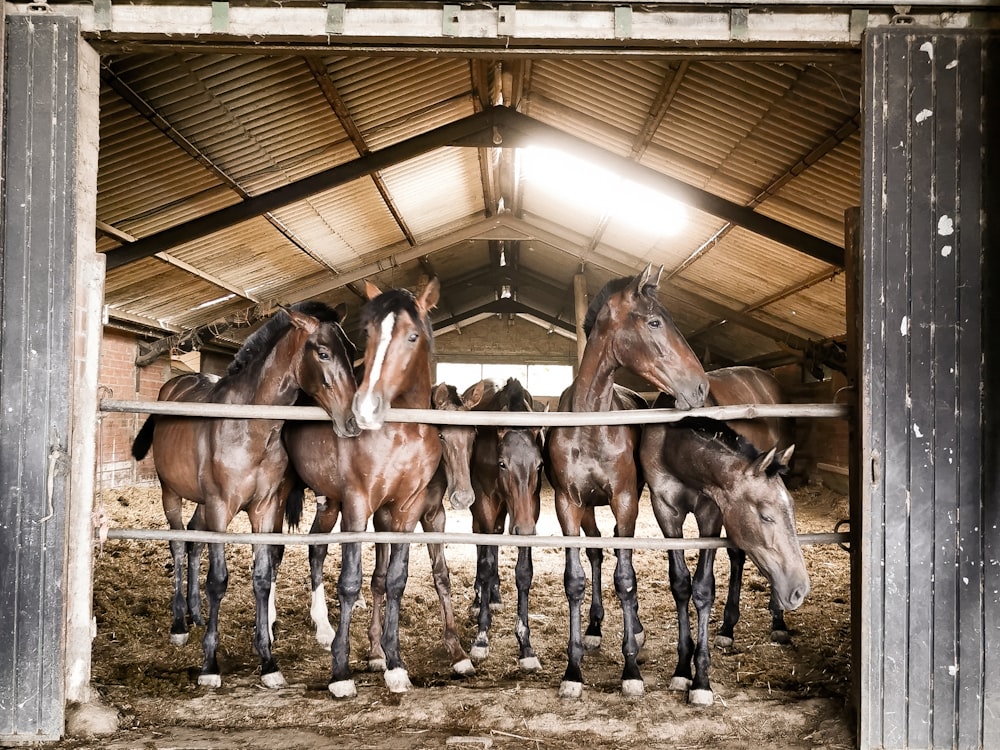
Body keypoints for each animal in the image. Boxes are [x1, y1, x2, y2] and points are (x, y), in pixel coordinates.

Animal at [127, 302, 358, 692]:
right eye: (323, 353)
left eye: (353, 352)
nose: (353, 421)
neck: (250, 426)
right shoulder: (222, 508)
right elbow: (218, 580)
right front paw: (210, 666)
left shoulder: (264, 509)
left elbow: (262, 577)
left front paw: (268, 661)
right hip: (172, 493)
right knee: (179, 542)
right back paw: (179, 624)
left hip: (203, 504)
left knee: (194, 540)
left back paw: (195, 613)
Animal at [286, 280, 446, 700]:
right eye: (369, 333)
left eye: (412, 335)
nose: (365, 409)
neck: (403, 432)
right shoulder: (359, 504)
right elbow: (350, 582)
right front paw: (341, 673)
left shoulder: (405, 509)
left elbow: (394, 581)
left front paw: (394, 664)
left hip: (330, 503)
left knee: (316, 549)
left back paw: (323, 627)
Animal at [464, 378, 544, 672]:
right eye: (502, 464)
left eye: (539, 465)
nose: (525, 529)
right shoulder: (485, 503)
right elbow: (486, 566)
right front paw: (481, 637)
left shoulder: (531, 508)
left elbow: (523, 572)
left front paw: (526, 646)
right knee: (481, 545)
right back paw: (480, 599)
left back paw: (495, 597)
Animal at [544, 268, 708, 704]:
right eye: (654, 322)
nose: (701, 387)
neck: (590, 425)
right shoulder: (567, 504)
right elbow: (575, 581)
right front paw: (573, 671)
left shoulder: (626, 501)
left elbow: (627, 580)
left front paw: (631, 670)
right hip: (588, 508)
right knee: (600, 553)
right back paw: (597, 627)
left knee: (620, 559)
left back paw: (634, 631)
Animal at [640, 414, 804, 708]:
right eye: (766, 516)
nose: (800, 589)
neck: (673, 447)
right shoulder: (665, 512)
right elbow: (681, 585)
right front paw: (682, 670)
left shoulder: (711, 513)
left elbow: (704, 589)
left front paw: (701, 681)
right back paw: (728, 628)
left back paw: (777, 621)